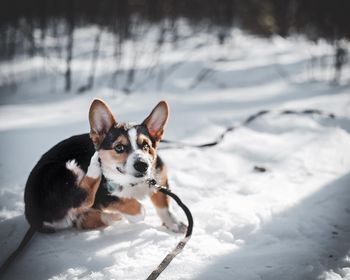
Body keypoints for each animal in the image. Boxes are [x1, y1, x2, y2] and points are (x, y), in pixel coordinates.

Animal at [23, 99, 186, 233]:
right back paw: (94, 167)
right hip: (57, 173)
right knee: (83, 196)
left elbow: (164, 206)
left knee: (83, 221)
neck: (133, 182)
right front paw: (131, 215)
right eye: (119, 148)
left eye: (146, 145)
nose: (142, 165)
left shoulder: (160, 179)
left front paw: (174, 223)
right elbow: (138, 209)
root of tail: (33, 217)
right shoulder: (103, 198)